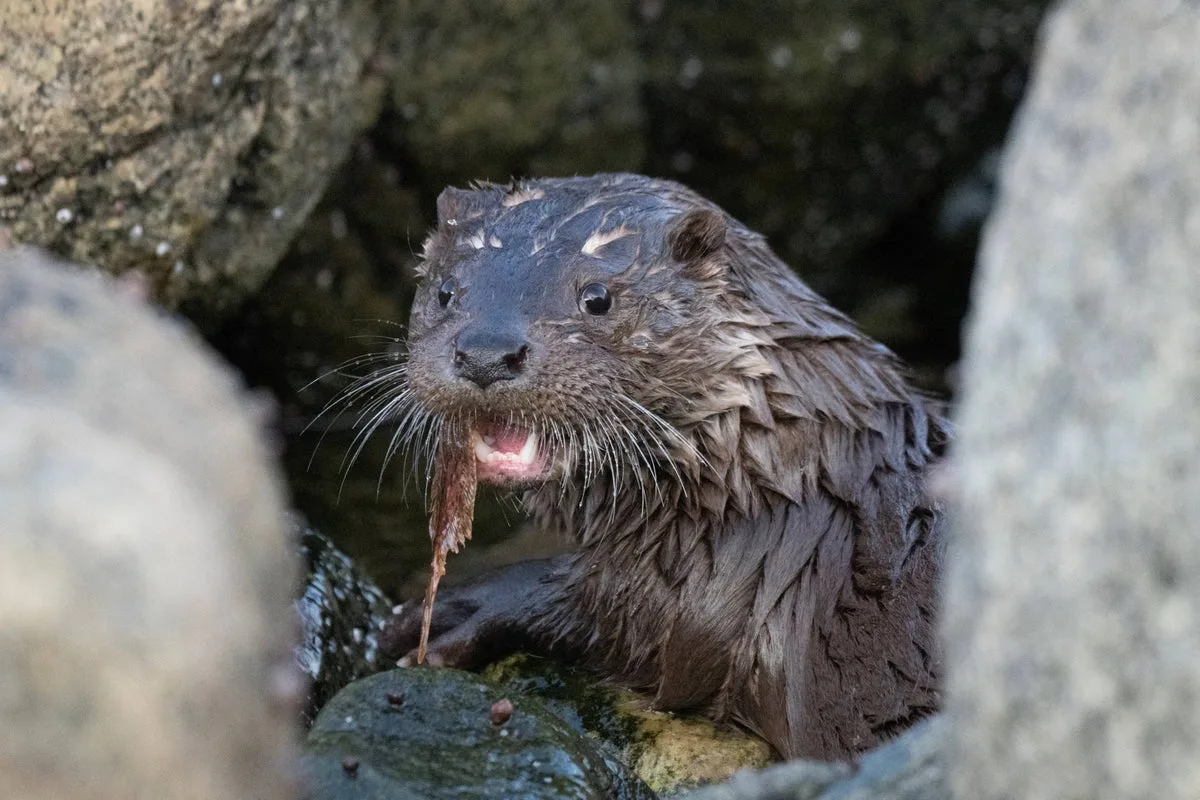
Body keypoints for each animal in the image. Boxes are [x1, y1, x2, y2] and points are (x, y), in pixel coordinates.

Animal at [377, 173, 947, 761]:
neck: (778, 473)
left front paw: (465, 608)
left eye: (597, 298)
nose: (487, 353)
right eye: (445, 292)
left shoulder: (730, 579)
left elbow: (631, 618)